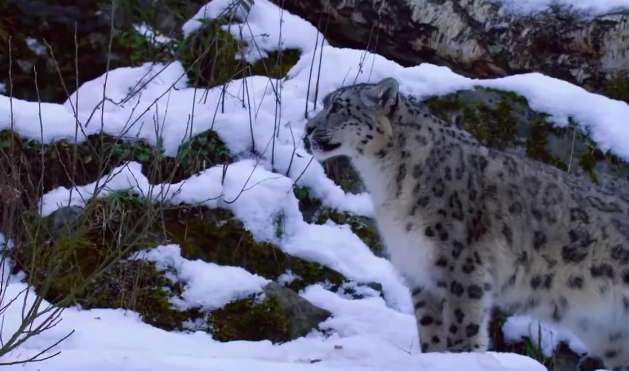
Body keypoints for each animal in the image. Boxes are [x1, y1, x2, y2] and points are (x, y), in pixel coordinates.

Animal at [306, 77, 628, 370]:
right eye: (325, 102)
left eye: (338, 106)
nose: (308, 127)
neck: (386, 183)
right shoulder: (420, 271)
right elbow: (429, 328)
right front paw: (433, 359)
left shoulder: (462, 266)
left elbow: (462, 326)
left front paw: (460, 359)